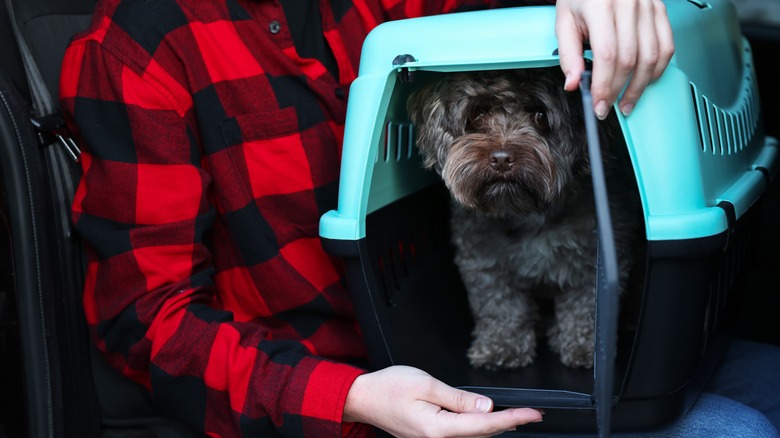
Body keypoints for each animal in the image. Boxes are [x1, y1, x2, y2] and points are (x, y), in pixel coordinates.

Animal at [408, 67, 640, 370]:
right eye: (477, 114)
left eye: (540, 116)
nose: (501, 158)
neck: (524, 214)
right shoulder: (484, 264)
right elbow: (499, 306)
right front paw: (502, 347)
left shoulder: (591, 264)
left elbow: (585, 306)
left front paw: (585, 347)